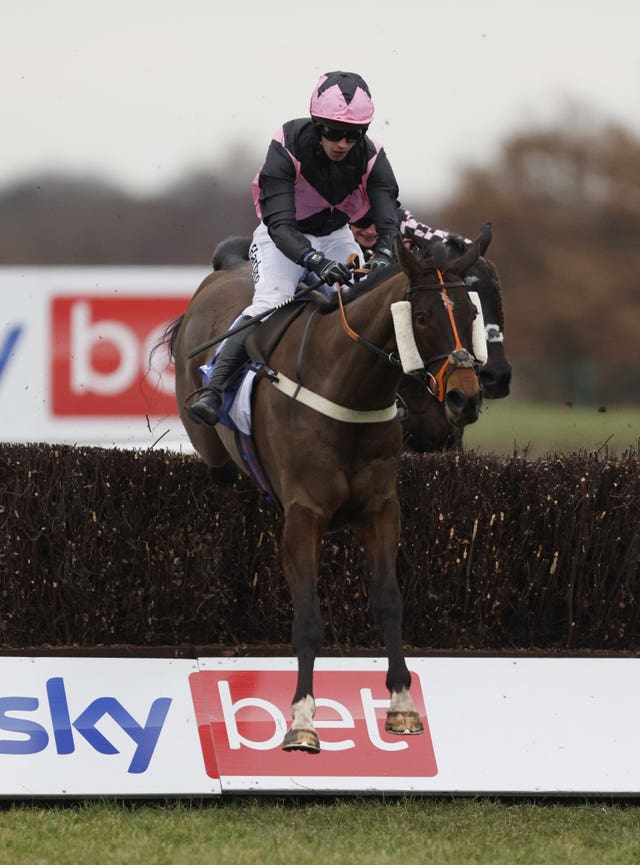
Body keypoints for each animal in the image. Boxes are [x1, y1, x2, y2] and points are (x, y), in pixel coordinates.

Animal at [165, 230, 484, 748]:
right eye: (420, 317)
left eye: (471, 315)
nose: (465, 398)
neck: (348, 390)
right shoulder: (304, 515)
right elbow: (310, 619)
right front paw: (302, 720)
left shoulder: (381, 508)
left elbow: (389, 599)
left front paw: (402, 706)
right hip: (211, 449)